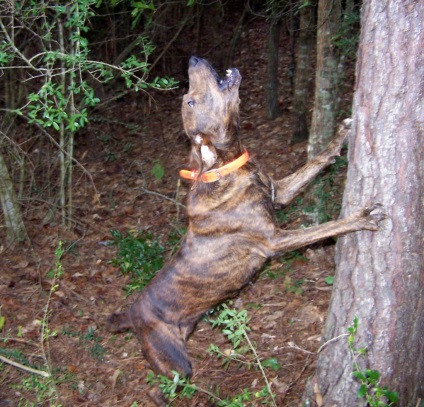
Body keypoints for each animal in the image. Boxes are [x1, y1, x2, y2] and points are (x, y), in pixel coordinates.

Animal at [107, 56, 388, 404]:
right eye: (190, 101)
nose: (193, 59)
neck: (226, 166)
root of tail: (131, 314)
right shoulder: (274, 240)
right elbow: (325, 227)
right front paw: (361, 217)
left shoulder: (280, 192)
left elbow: (315, 163)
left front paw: (341, 136)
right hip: (173, 364)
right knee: (159, 389)